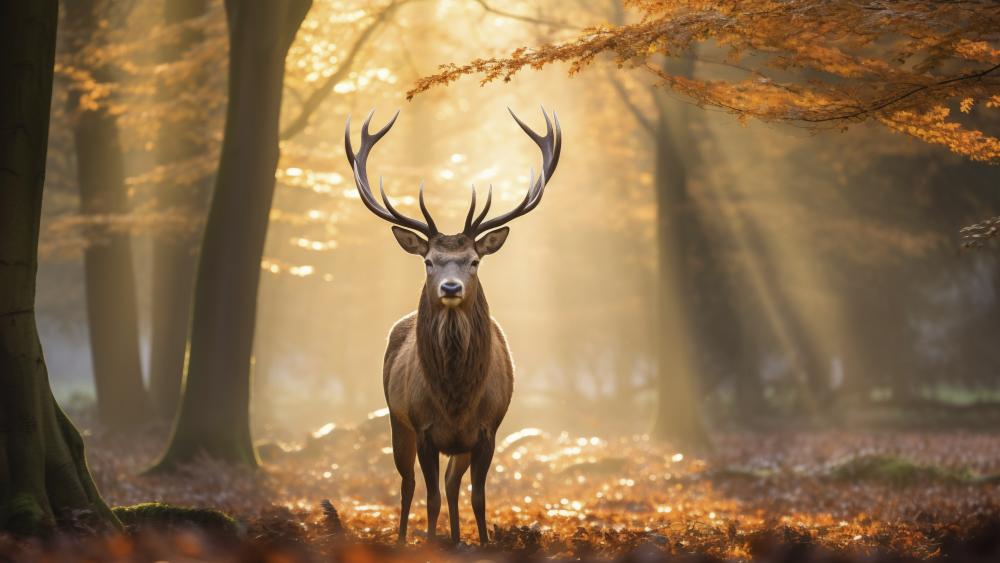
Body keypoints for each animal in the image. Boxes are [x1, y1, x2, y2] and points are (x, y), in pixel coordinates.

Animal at [344, 108, 561, 545]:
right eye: (429, 261)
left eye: (474, 260)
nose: (449, 287)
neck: (456, 398)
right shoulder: (424, 428)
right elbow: (429, 498)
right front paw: (430, 542)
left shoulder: (487, 431)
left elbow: (477, 496)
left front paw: (482, 542)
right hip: (396, 419)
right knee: (408, 484)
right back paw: (402, 539)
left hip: (457, 445)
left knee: (451, 484)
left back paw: (458, 537)